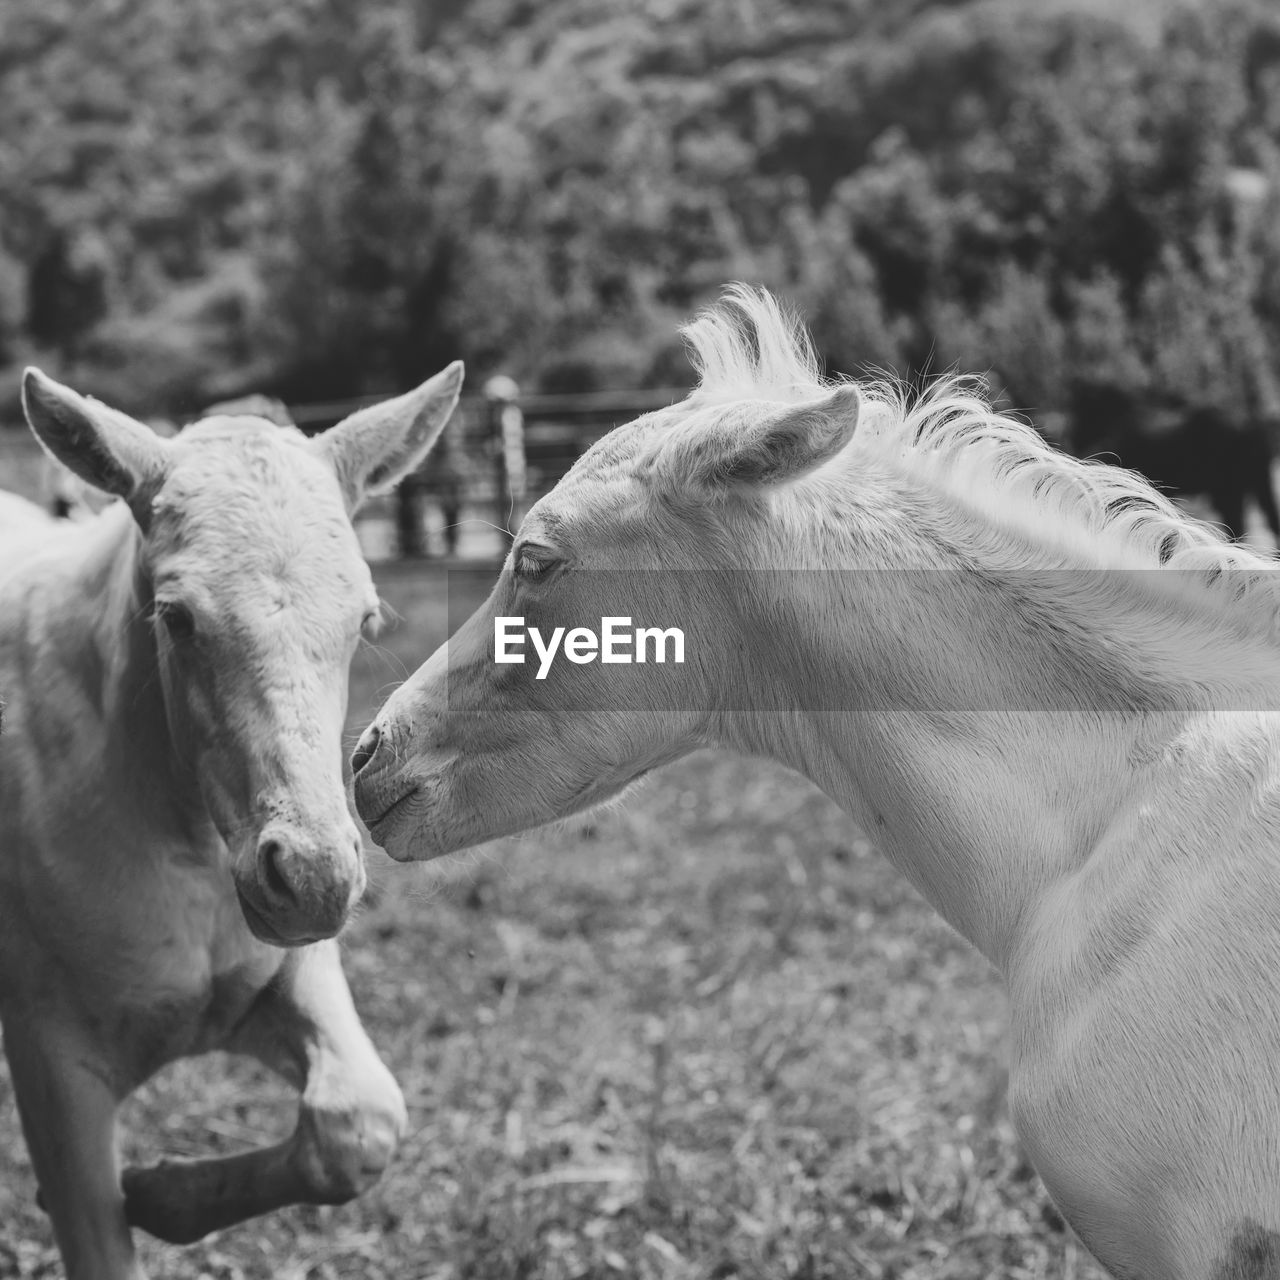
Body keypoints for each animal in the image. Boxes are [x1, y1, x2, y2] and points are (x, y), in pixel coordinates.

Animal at [2, 360, 463, 1280]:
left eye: (365, 619)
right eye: (177, 617)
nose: (313, 880)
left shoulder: (285, 979)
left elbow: (357, 1126)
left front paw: (159, 1191)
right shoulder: (52, 1061)